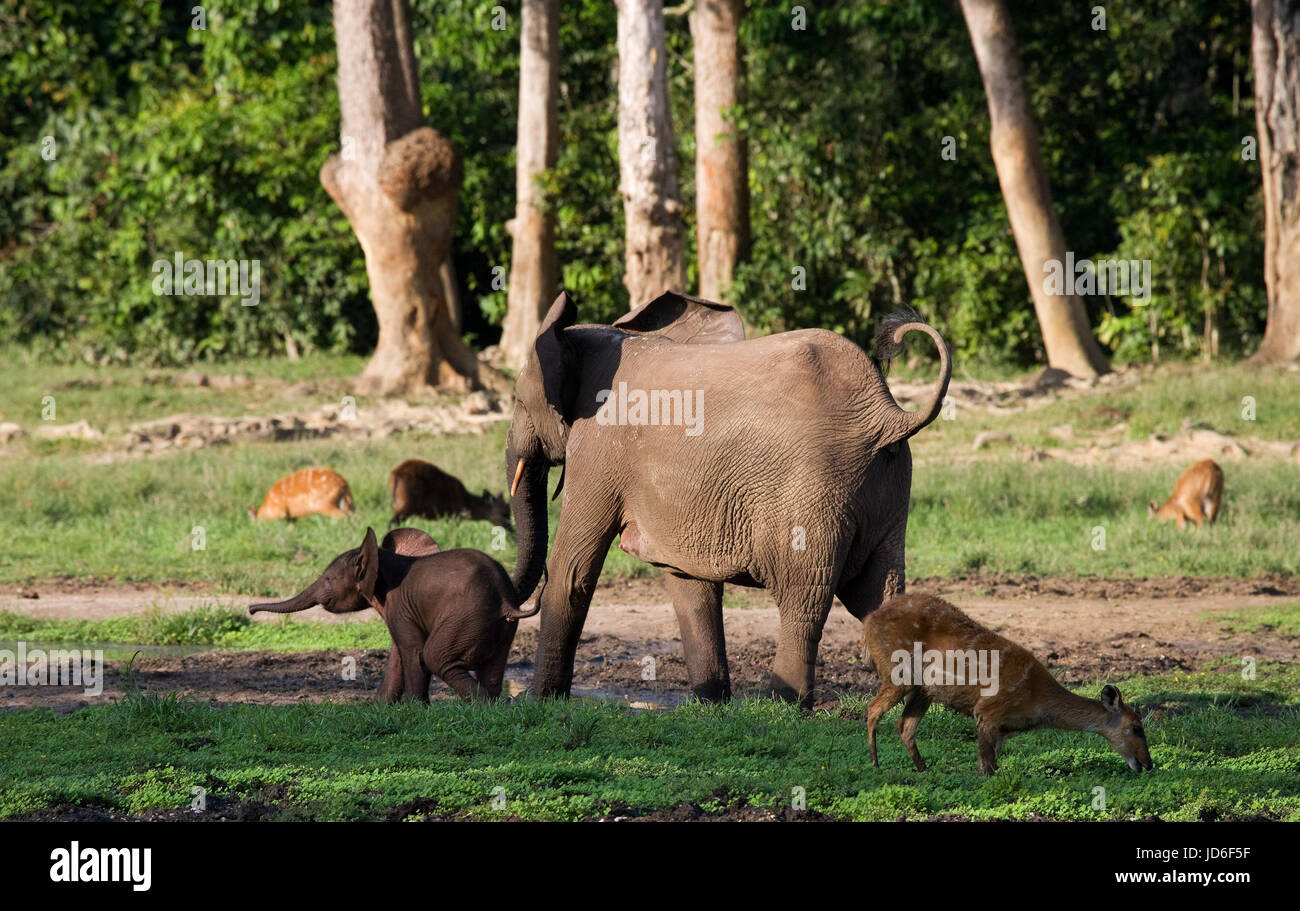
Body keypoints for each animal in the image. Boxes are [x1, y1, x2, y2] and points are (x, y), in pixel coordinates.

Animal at [249, 527, 538, 701]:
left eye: (329, 579)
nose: (251, 610)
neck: (383, 559)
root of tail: (506, 602)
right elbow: (398, 655)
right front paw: (380, 708)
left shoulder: (399, 605)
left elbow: (413, 652)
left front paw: (416, 711)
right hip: (499, 628)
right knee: (492, 667)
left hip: (466, 618)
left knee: (435, 656)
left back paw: (484, 705)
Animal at [505, 290, 951, 705]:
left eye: (517, 401)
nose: (516, 608)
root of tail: (888, 414)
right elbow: (688, 583)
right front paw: (710, 703)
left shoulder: (598, 447)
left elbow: (572, 570)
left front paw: (537, 701)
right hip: (890, 484)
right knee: (880, 595)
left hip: (814, 490)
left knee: (803, 600)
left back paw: (782, 704)